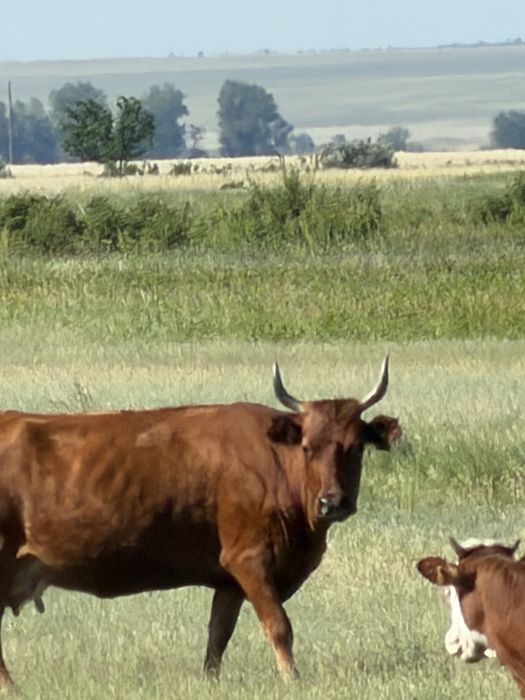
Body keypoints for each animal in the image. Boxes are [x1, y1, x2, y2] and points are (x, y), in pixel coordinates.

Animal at [0, 358, 400, 685]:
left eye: (356, 447)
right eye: (307, 447)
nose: (332, 503)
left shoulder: (228, 579)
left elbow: (217, 636)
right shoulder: (249, 560)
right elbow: (278, 626)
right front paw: (293, 679)